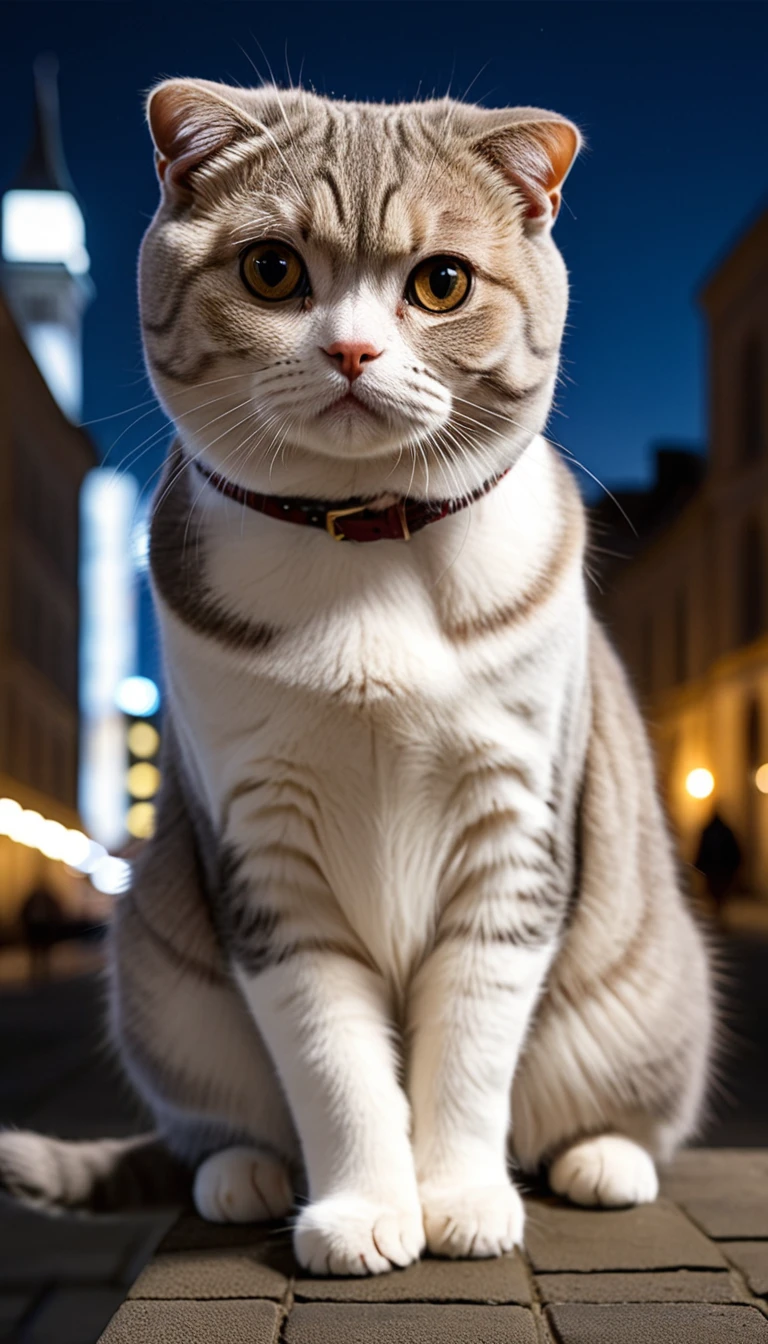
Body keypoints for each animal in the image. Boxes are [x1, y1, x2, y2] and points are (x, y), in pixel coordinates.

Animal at [1, 78, 715, 1274]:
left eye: (442, 283)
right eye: (271, 270)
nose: (351, 352)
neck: (366, 549)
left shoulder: (512, 837)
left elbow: (467, 1051)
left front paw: (458, 1198)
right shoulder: (264, 853)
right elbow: (333, 1059)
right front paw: (364, 1209)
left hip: (646, 986)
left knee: (607, 1110)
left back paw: (602, 1159)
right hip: (162, 968)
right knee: (214, 1124)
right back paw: (240, 1173)